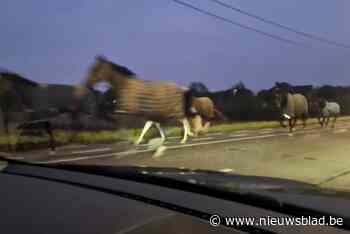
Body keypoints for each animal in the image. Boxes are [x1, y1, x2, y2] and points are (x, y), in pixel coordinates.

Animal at [82, 55, 213, 144]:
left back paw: (186, 138)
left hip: (175, 111)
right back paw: (192, 133)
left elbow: (129, 125)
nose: (87, 83)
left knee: (186, 120)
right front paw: (157, 139)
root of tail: (182, 88)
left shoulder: (129, 113)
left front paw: (133, 140)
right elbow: (151, 126)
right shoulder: (150, 114)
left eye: (95, 69)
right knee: (191, 118)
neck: (125, 86)